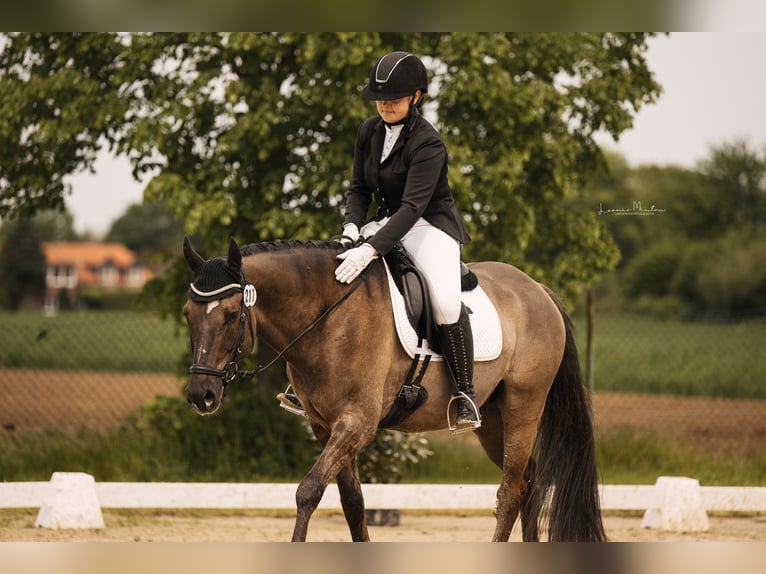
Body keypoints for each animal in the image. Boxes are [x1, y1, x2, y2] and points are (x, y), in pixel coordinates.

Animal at [180, 236, 608, 544]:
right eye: (187, 314)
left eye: (231, 314)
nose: (200, 395)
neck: (327, 318)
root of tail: (536, 289)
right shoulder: (325, 425)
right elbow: (353, 503)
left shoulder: (357, 423)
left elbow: (309, 491)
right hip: (491, 421)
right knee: (527, 483)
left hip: (524, 407)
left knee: (510, 492)